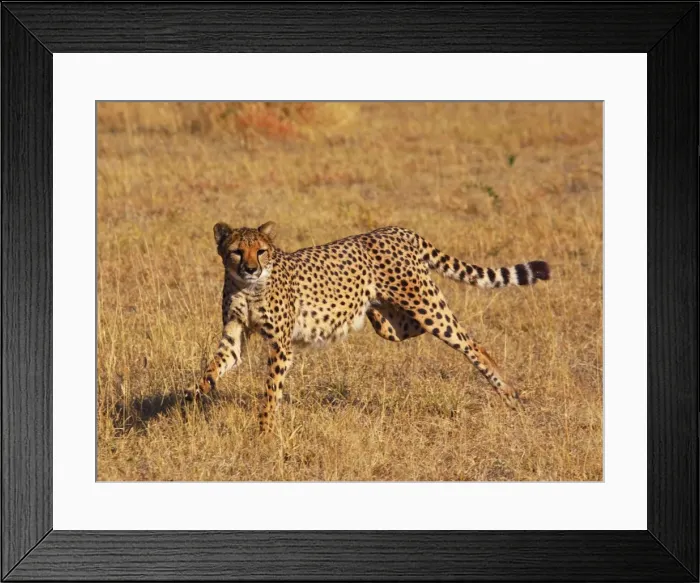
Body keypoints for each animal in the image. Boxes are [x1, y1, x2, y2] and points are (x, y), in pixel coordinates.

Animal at [185, 221, 550, 433]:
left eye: (261, 251)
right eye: (236, 251)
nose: (250, 268)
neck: (247, 287)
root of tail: (396, 229)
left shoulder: (280, 346)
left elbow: (270, 391)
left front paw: (264, 431)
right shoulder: (234, 335)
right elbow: (214, 366)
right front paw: (193, 394)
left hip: (427, 307)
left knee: (473, 344)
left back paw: (508, 393)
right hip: (396, 324)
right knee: (403, 327)